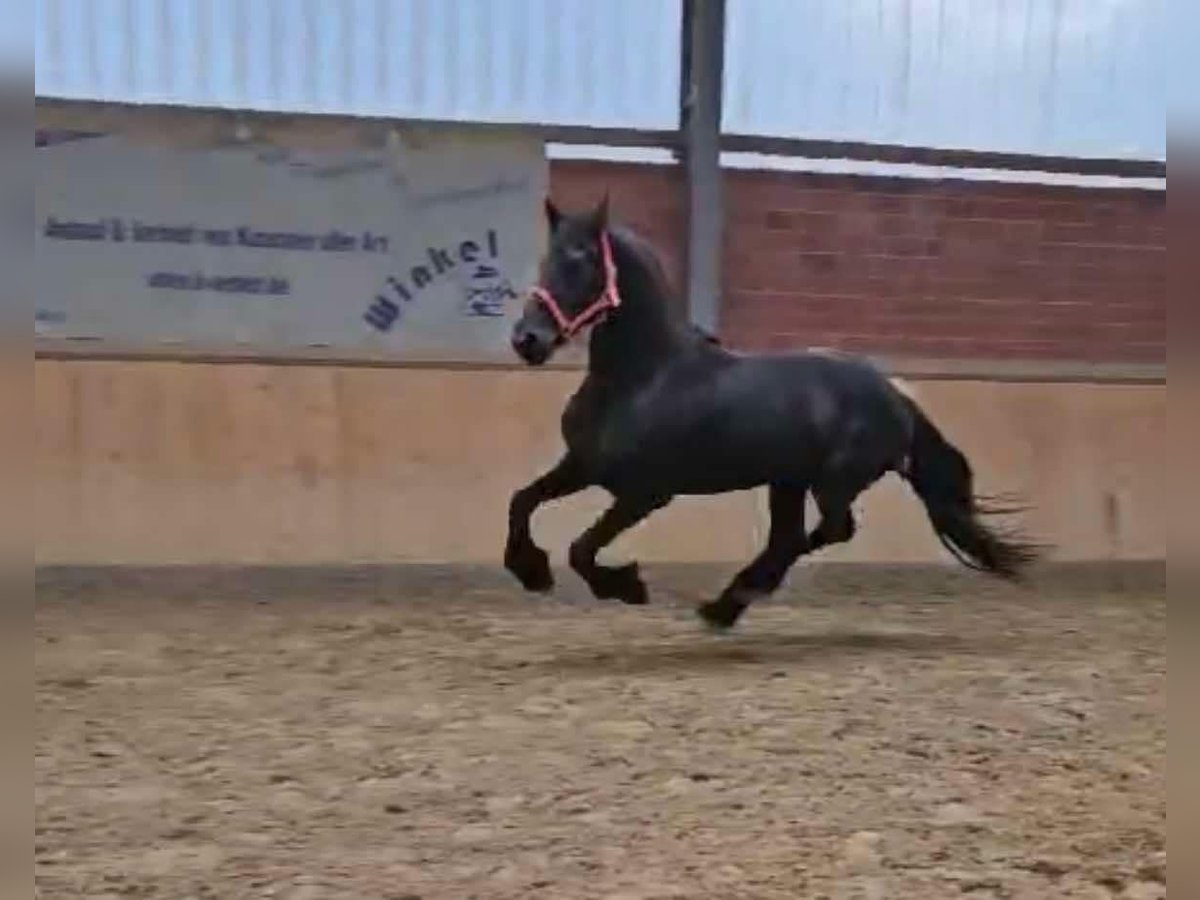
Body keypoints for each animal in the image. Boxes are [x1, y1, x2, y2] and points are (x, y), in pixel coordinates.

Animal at [501, 200, 1036, 628]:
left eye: (582, 260)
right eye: (548, 258)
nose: (527, 340)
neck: (643, 378)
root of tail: (895, 396)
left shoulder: (646, 492)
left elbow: (582, 549)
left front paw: (627, 586)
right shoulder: (581, 466)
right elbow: (521, 501)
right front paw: (531, 571)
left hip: (831, 482)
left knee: (828, 532)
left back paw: (731, 598)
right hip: (788, 481)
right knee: (791, 537)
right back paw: (725, 606)